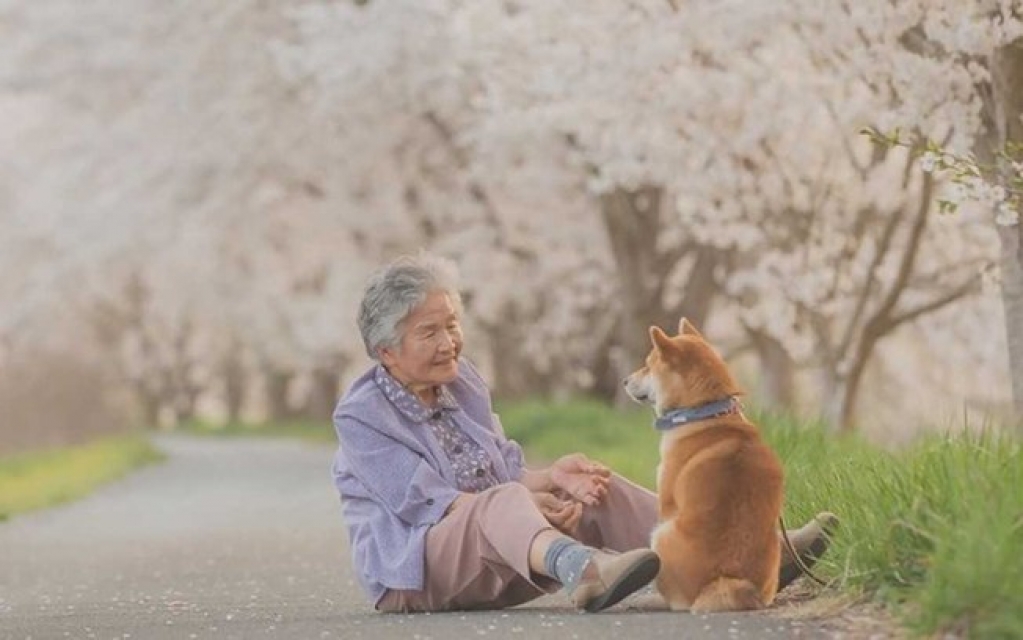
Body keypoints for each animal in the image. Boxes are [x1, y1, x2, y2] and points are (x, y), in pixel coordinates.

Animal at [621, 316, 781, 609]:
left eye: (648, 365)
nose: (625, 380)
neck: (705, 413)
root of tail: (725, 580)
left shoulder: (666, 502)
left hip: (660, 536)